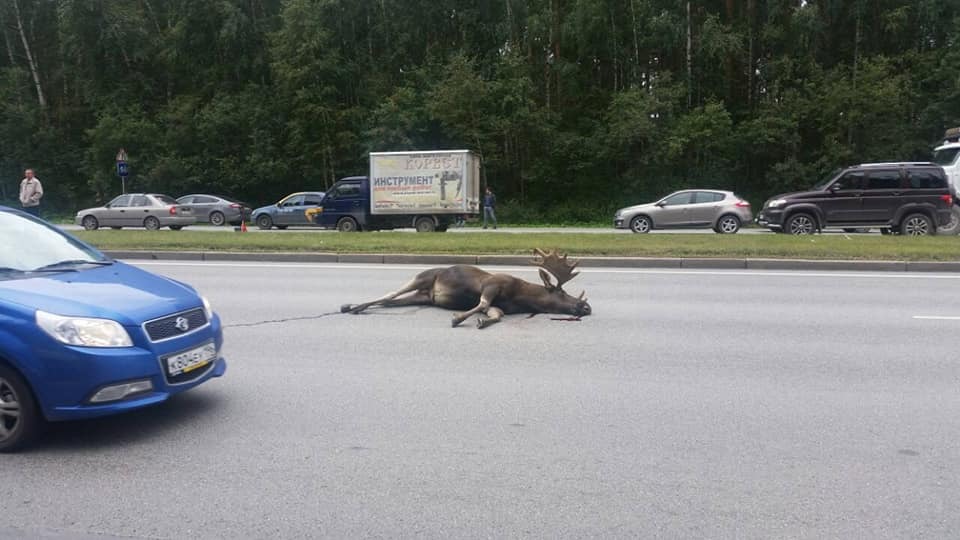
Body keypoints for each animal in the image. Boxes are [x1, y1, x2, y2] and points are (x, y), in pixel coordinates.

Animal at [338, 249, 592, 330]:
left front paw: (481, 321)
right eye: (562, 292)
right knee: (391, 294)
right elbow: (482, 302)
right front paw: (458, 318)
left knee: (390, 301)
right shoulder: (492, 284)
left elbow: (496, 313)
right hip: (423, 277)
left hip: (423, 297)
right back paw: (353, 306)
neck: (522, 298)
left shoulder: (499, 305)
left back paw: (351, 305)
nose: (587, 306)